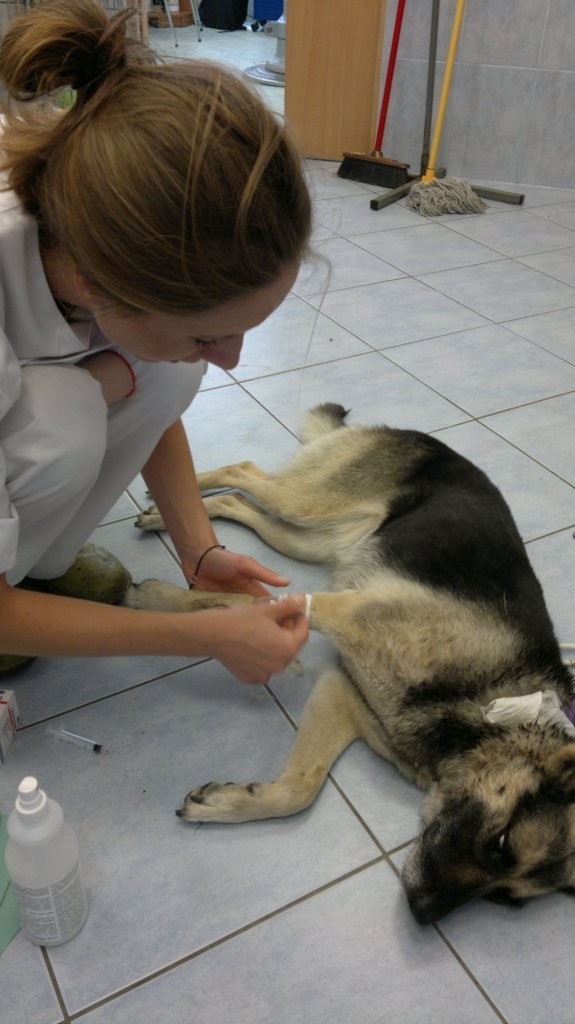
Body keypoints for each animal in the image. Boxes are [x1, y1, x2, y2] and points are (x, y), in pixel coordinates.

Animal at [125, 403, 572, 925]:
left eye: (506, 899)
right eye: (500, 844)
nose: (422, 913)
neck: (484, 706)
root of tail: (421, 436)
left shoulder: (340, 692)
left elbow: (300, 788)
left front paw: (228, 804)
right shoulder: (343, 612)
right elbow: (241, 604)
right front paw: (160, 601)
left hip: (305, 539)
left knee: (241, 501)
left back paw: (178, 513)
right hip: (305, 505)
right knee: (246, 472)